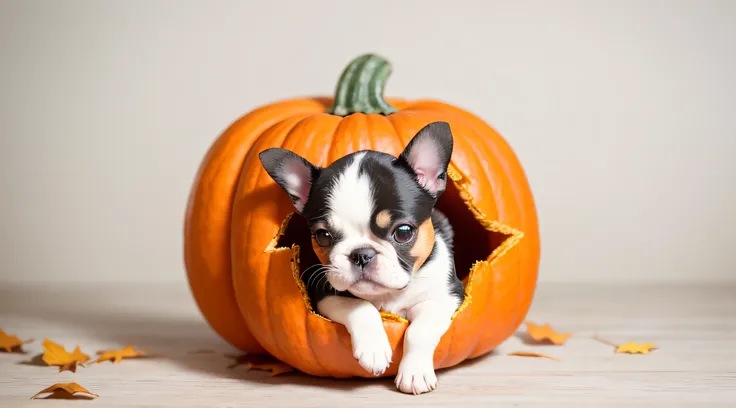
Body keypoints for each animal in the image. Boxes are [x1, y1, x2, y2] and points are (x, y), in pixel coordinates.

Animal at [262, 122, 462, 396]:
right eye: (322, 236)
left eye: (403, 232)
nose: (361, 254)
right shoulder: (323, 293)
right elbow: (359, 306)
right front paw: (374, 349)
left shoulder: (447, 297)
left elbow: (420, 330)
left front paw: (414, 373)